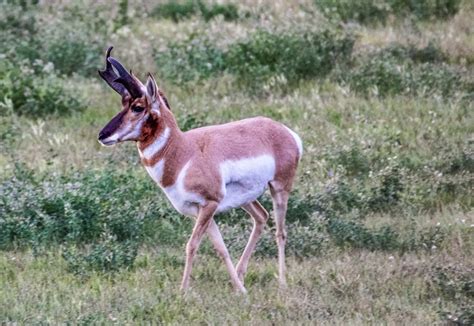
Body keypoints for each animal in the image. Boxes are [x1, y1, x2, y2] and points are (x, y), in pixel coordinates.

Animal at [98, 46, 304, 292]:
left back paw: (282, 282)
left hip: (279, 189)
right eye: (123, 104)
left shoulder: (209, 205)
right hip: (246, 199)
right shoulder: (202, 210)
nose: (102, 135)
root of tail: (285, 131)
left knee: (281, 232)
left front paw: (182, 292)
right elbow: (221, 248)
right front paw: (240, 290)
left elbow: (192, 245)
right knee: (261, 217)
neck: (183, 151)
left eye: (138, 107)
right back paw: (241, 274)